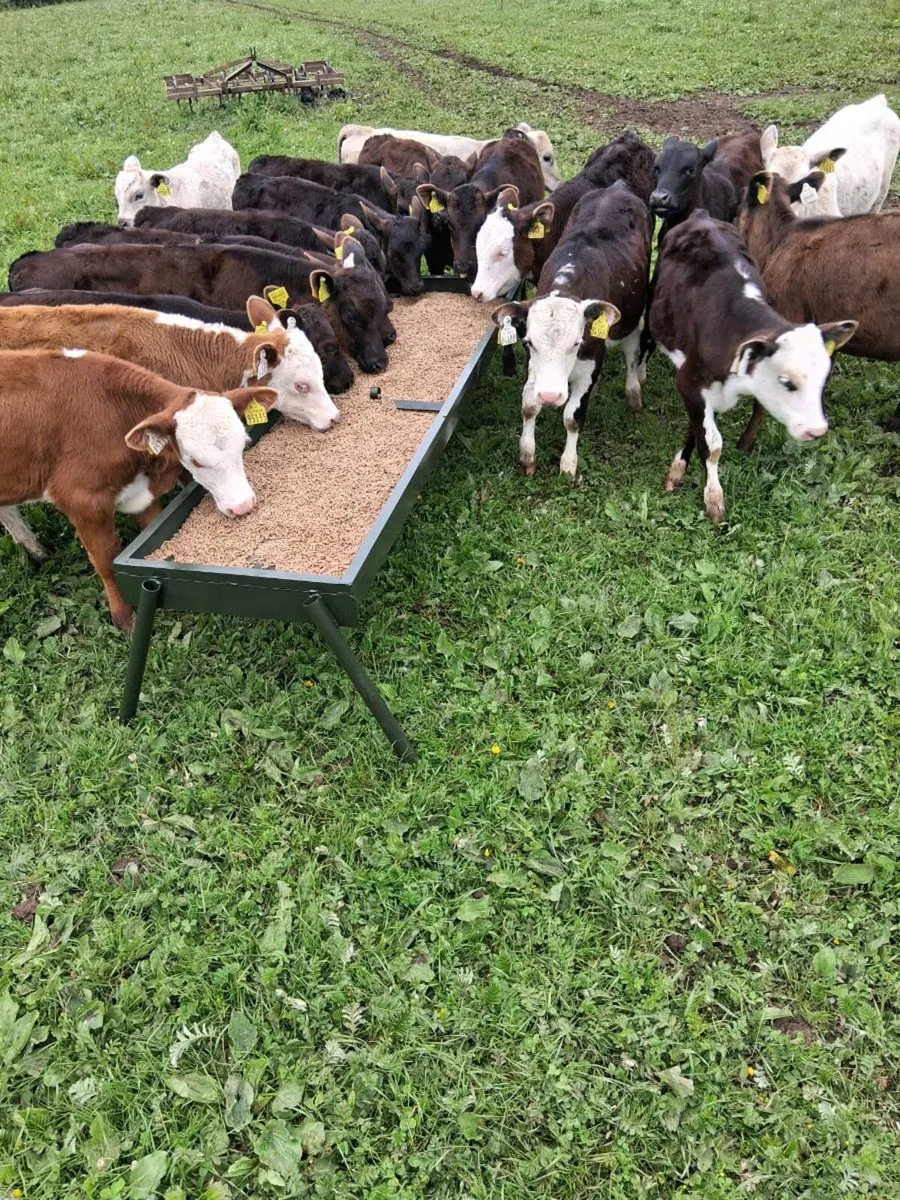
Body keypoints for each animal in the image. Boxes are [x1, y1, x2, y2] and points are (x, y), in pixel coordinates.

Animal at [0, 349, 275, 628]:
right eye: (196, 461)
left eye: (243, 443)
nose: (243, 506)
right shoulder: (83, 501)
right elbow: (106, 561)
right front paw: (124, 618)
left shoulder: (143, 496)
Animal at [490, 183, 652, 477]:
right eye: (528, 343)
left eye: (576, 343)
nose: (550, 396)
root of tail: (616, 187)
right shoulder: (535, 368)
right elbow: (529, 406)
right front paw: (527, 456)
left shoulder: (590, 363)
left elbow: (572, 416)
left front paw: (568, 464)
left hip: (635, 312)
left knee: (633, 352)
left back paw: (633, 392)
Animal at [648, 210, 856, 522]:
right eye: (787, 381)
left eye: (823, 379)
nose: (817, 430)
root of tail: (702, 215)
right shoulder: (689, 382)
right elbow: (712, 444)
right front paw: (712, 497)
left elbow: (701, 430)